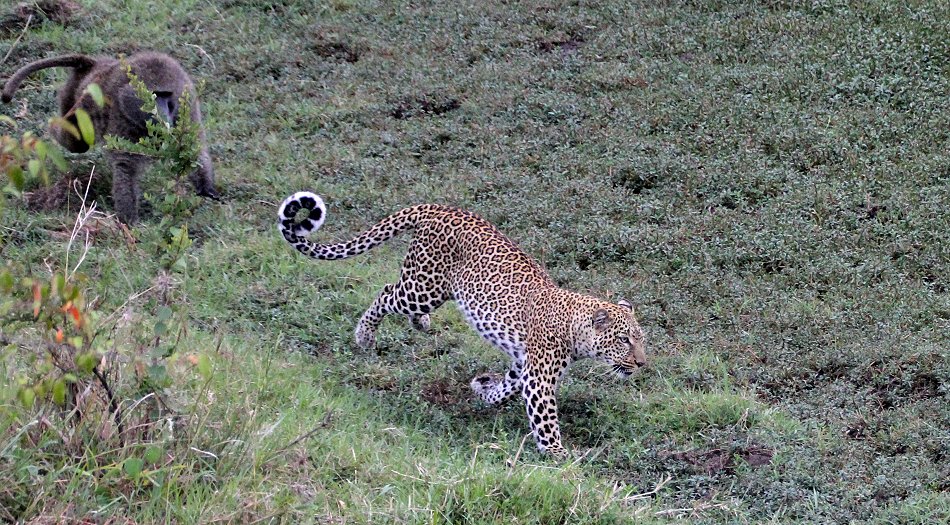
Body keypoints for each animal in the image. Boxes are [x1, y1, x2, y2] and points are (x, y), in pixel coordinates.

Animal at [276, 191, 648, 454]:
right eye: (624, 340)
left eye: (640, 339)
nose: (643, 363)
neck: (574, 329)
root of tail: (439, 208)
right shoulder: (539, 378)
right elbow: (545, 419)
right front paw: (558, 456)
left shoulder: (523, 362)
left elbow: (508, 386)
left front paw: (483, 389)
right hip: (423, 286)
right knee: (386, 292)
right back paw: (365, 335)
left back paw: (419, 324)